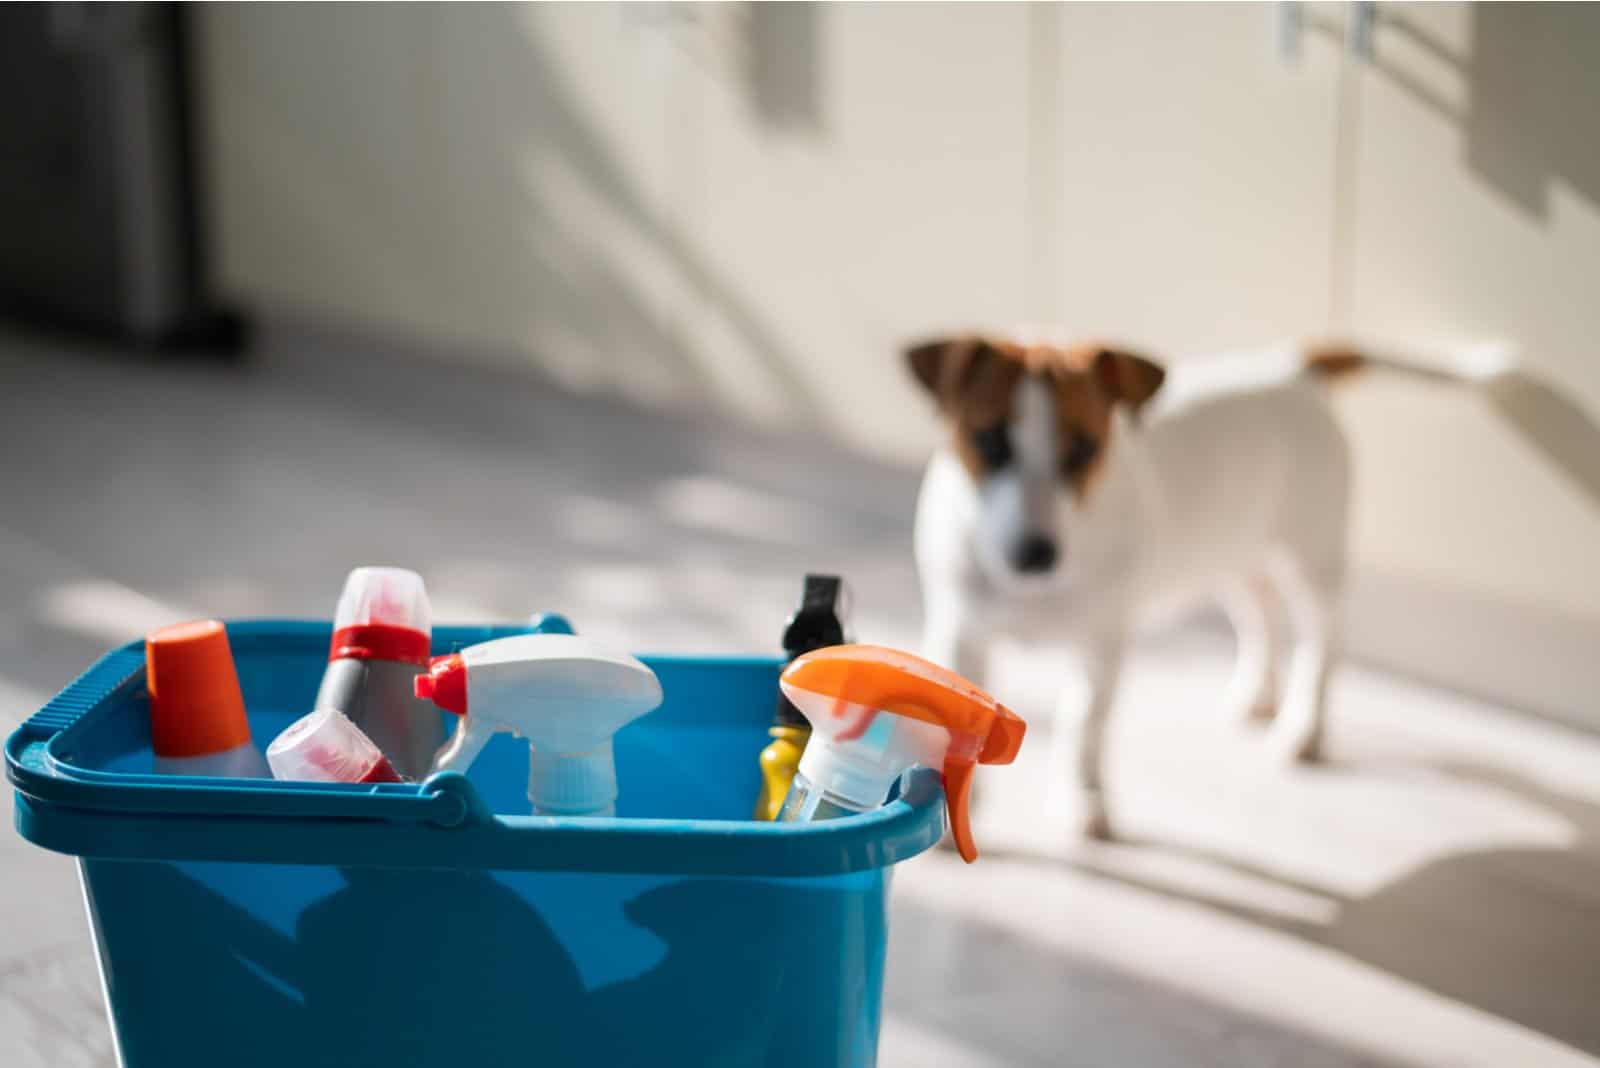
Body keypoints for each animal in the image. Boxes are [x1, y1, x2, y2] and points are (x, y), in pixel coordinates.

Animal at [908, 334, 1382, 831]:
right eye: (990, 441)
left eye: (1084, 449)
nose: (1035, 555)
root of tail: (1292, 366)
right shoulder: (962, 634)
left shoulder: (1102, 645)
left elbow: (1085, 720)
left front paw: (1083, 798)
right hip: (1234, 553)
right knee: (1262, 613)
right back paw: (1257, 696)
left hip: (1312, 558)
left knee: (1322, 641)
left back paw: (1306, 729)